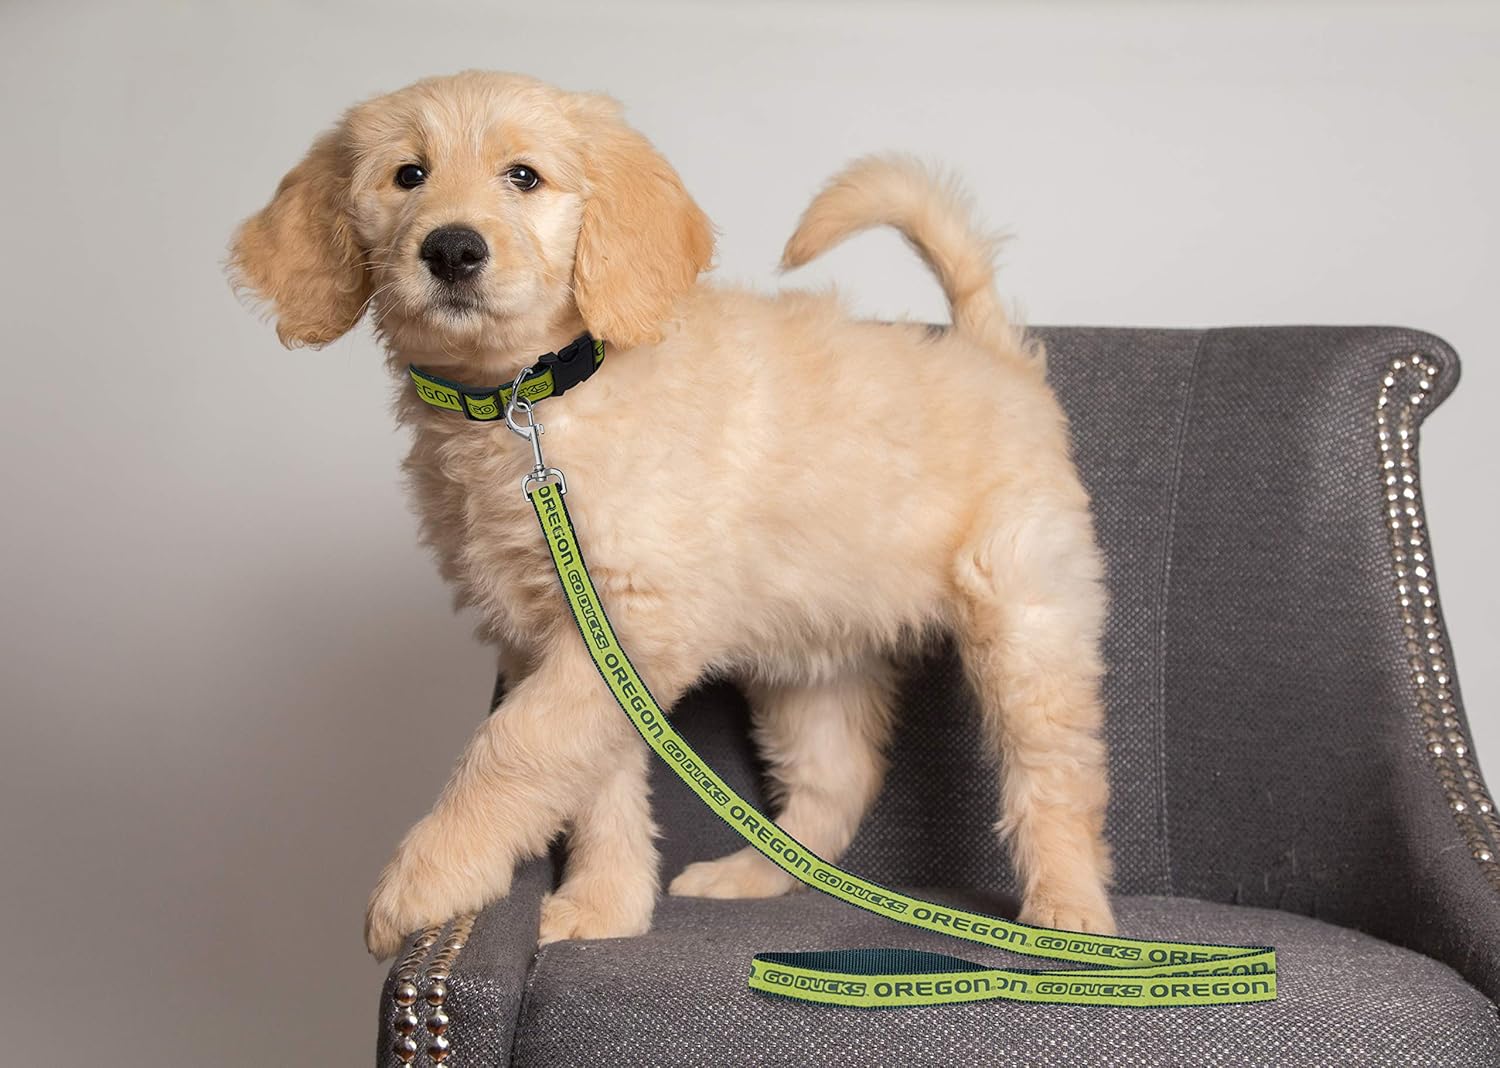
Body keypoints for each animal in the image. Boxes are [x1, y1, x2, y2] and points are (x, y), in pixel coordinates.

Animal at [230, 71, 1116, 959]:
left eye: (524, 177)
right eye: (408, 175)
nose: (451, 249)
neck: (528, 403)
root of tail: (992, 351)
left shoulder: (630, 621)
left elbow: (516, 744)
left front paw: (424, 883)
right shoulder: (552, 632)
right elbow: (588, 778)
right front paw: (604, 908)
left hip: (1025, 620)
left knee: (1059, 774)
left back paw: (1070, 912)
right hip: (813, 649)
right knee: (838, 779)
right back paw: (751, 876)